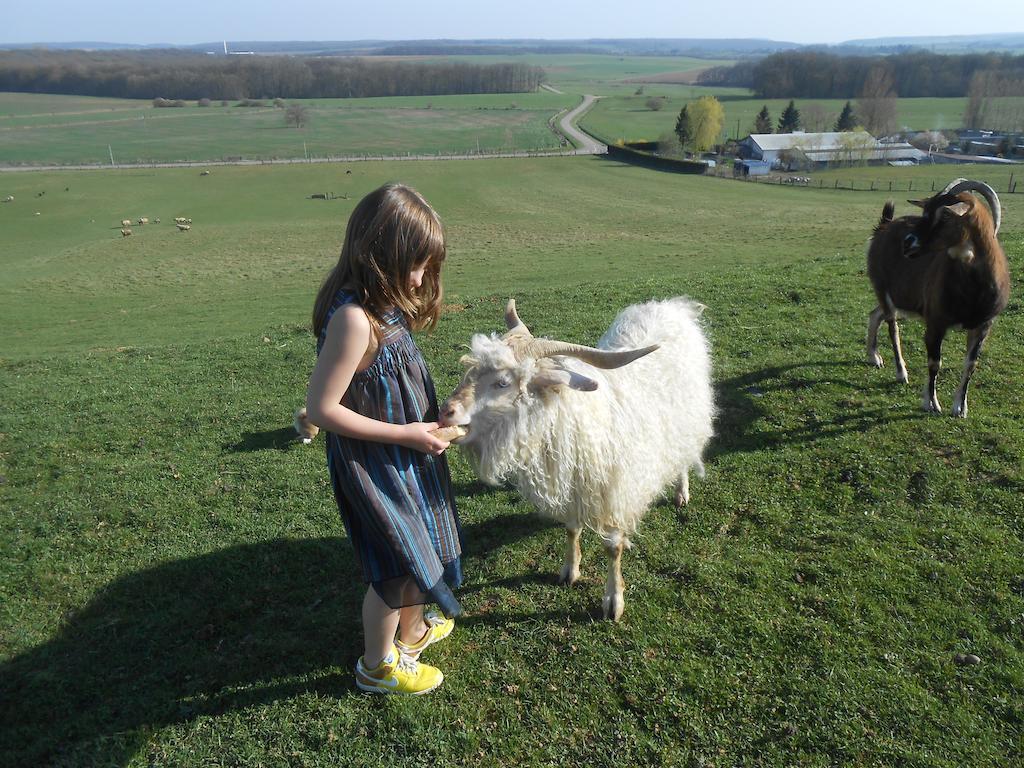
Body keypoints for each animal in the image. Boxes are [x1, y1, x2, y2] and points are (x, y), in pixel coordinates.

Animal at [438, 296, 712, 622]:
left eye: (503, 382)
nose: (445, 411)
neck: (573, 415)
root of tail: (672, 306)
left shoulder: (614, 490)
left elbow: (613, 548)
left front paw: (613, 601)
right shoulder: (570, 487)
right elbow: (571, 529)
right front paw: (570, 570)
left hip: (687, 421)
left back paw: (681, 493)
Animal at [868, 179, 1011, 421]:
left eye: (944, 216)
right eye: (924, 211)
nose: (908, 243)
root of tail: (883, 227)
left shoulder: (984, 325)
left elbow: (971, 364)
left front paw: (960, 408)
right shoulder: (936, 322)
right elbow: (935, 362)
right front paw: (931, 403)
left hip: (900, 297)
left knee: (874, 314)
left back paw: (874, 357)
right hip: (882, 288)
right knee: (892, 327)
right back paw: (901, 373)